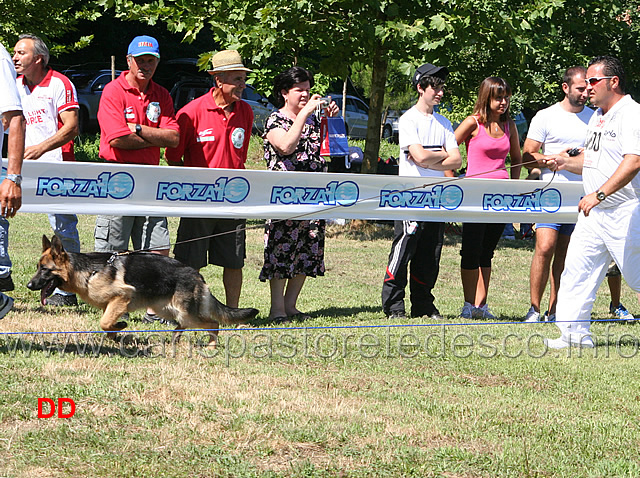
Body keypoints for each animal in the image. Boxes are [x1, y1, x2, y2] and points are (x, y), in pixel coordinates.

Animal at [27, 233, 258, 342]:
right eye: (38, 268)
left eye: (45, 270)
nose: (29, 285)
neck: (88, 271)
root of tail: (197, 275)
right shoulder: (111, 305)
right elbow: (108, 324)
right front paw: (116, 333)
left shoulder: (123, 296)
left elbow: (104, 322)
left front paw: (119, 328)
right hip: (166, 309)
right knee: (183, 325)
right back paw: (175, 339)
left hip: (185, 312)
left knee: (213, 324)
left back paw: (211, 345)